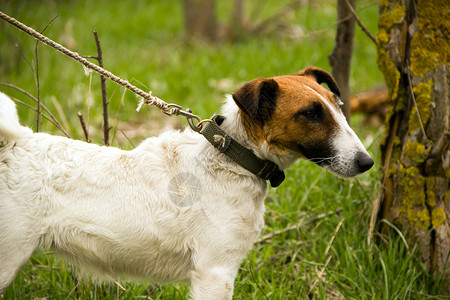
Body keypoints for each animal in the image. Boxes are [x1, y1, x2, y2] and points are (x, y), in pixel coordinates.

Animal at [0, 67, 372, 298]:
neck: (232, 156)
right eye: (310, 114)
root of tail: (13, 146)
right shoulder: (215, 272)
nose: (367, 163)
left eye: (337, 107)